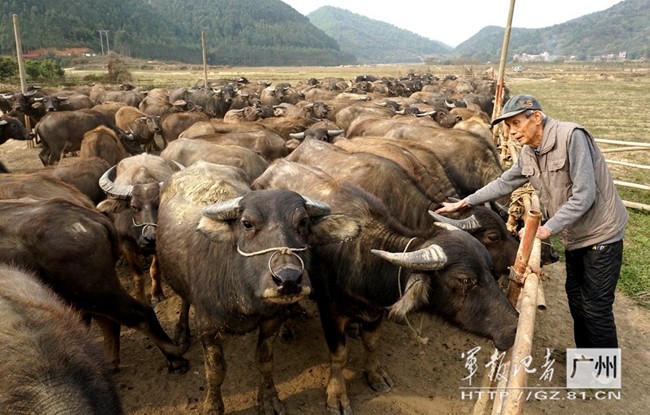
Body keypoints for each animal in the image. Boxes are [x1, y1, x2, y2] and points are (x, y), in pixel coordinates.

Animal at [157, 162, 360, 415]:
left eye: (303, 222)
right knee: (184, 300)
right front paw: (213, 406)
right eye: (247, 223)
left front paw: (270, 400)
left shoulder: (271, 319)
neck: (243, 291)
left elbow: (264, 362)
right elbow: (215, 372)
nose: (288, 280)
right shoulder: (206, 326)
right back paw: (182, 332)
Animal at [252, 161, 516, 415]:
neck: (362, 258)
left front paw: (375, 375)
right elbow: (339, 356)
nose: (514, 327)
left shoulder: (375, 311)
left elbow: (372, 342)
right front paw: (337, 396)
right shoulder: (331, 312)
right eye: (465, 280)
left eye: (488, 269)